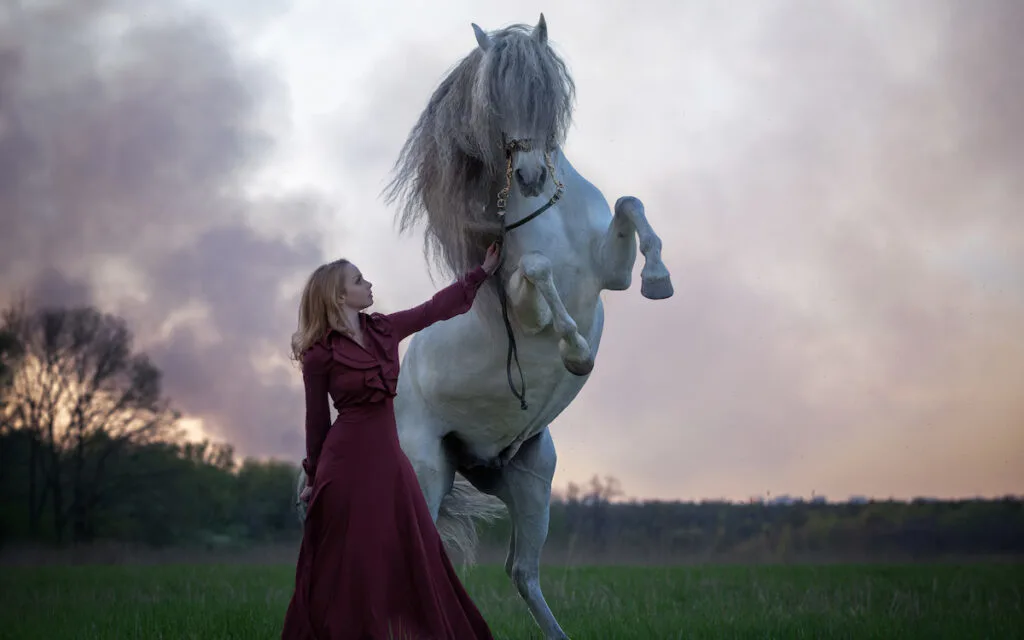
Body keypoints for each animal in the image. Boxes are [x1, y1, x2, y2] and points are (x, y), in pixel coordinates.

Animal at [299, 14, 675, 638]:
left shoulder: (610, 272)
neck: (551, 213)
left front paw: (659, 280)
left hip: (530, 476)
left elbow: (631, 205)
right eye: (493, 102)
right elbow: (540, 274)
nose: (530, 176)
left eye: (543, 90)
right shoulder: (525, 299)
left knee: (522, 572)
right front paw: (576, 352)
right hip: (428, 471)